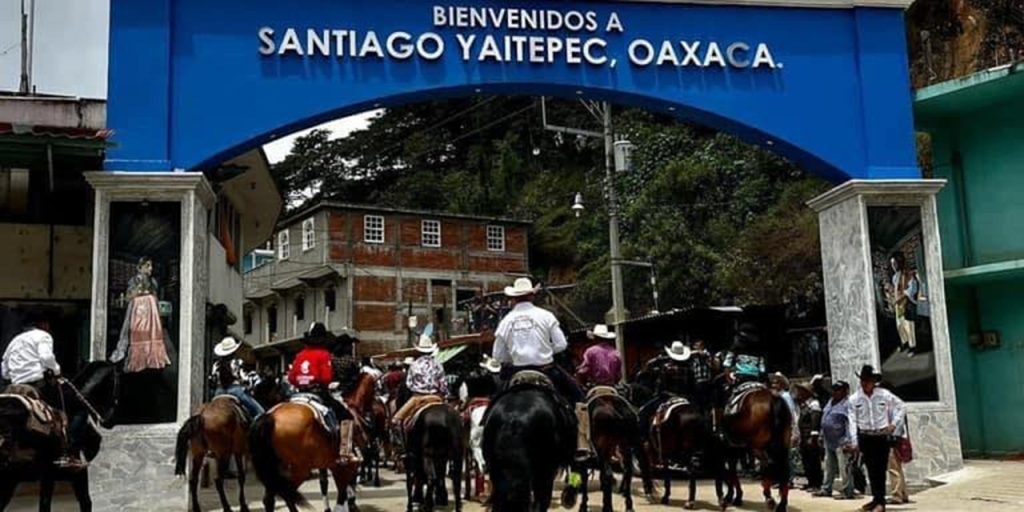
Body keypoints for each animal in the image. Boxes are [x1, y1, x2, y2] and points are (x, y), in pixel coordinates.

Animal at [247, 372, 376, 512]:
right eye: (374, 390)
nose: (373, 412)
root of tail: (269, 417)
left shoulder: (329, 463)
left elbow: (326, 484)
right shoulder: (343, 464)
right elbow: (342, 489)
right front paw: (348, 504)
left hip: (276, 470)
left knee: (271, 497)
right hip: (300, 469)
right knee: (287, 493)